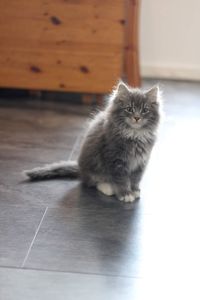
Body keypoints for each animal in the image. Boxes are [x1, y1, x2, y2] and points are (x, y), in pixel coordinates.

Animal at [23, 81, 161, 204]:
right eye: (130, 109)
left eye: (145, 110)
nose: (137, 118)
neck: (134, 135)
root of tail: (80, 169)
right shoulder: (115, 160)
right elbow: (121, 180)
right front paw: (125, 194)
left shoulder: (141, 161)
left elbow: (136, 178)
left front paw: (135, 190)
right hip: (94, 167)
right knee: (92, 182)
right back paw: (107, 187)